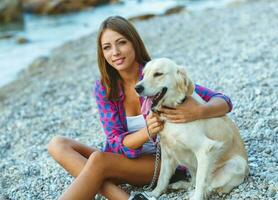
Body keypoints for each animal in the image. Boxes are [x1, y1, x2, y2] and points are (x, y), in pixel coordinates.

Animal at [135, 57, 248, 200]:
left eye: (158, 74)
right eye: (144, 75)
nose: (137, 88)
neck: (174, 106)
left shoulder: (205, 150)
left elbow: (201, 181)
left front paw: (197, 196)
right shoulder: (167, 152)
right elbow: (162, 177)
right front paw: (153, 194)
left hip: (235, 164)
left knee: (210, 184)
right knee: (193, 181)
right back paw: (180, 185)